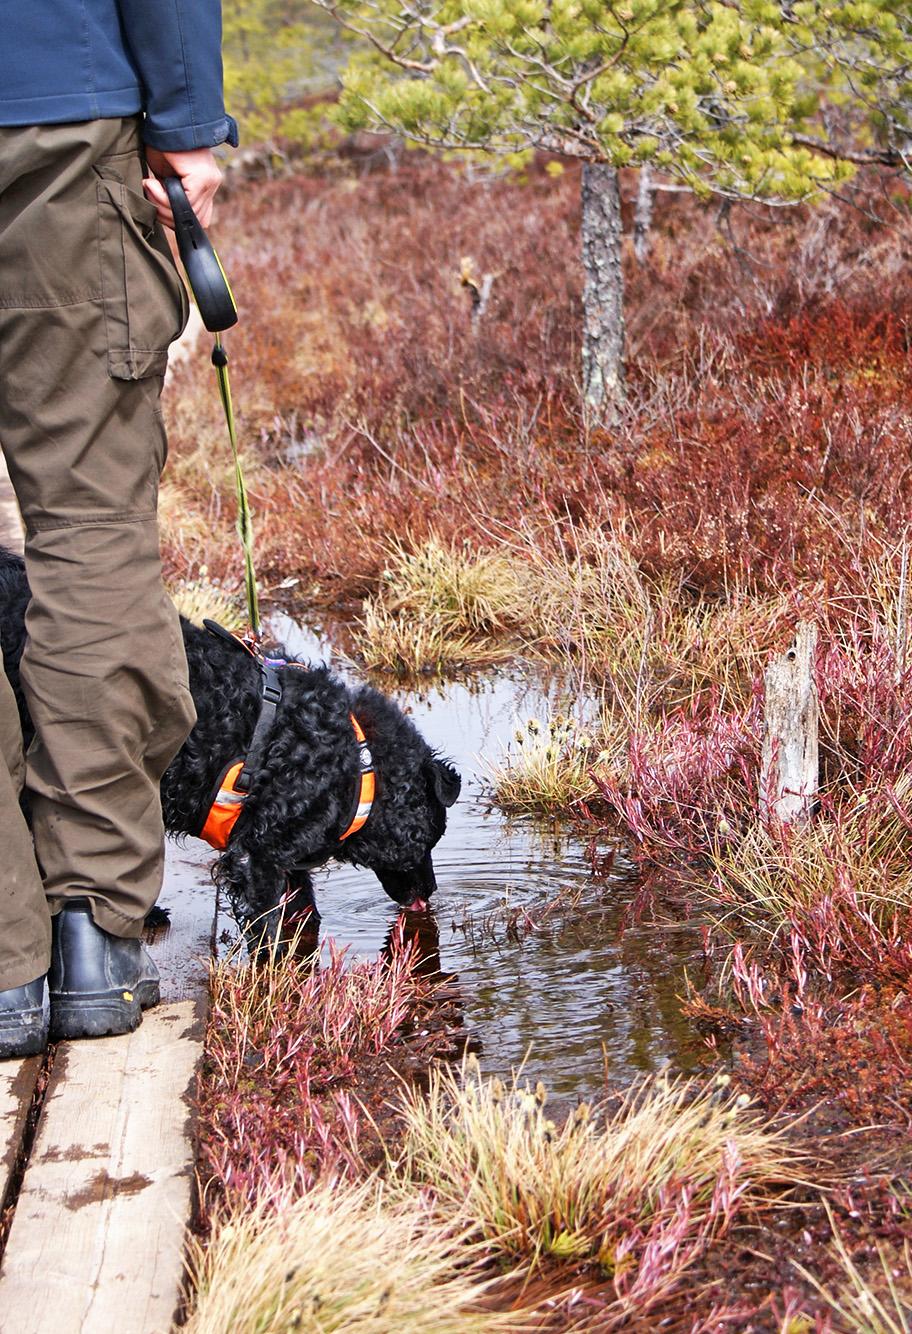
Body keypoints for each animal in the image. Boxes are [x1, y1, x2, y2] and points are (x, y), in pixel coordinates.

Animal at [0, 546, 458, 955]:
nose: (432, 891)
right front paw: (271, 978)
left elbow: (303, 911)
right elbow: (269, 925)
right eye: (432, 838)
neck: (357, 762)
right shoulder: (257, 853)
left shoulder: (279, 849)